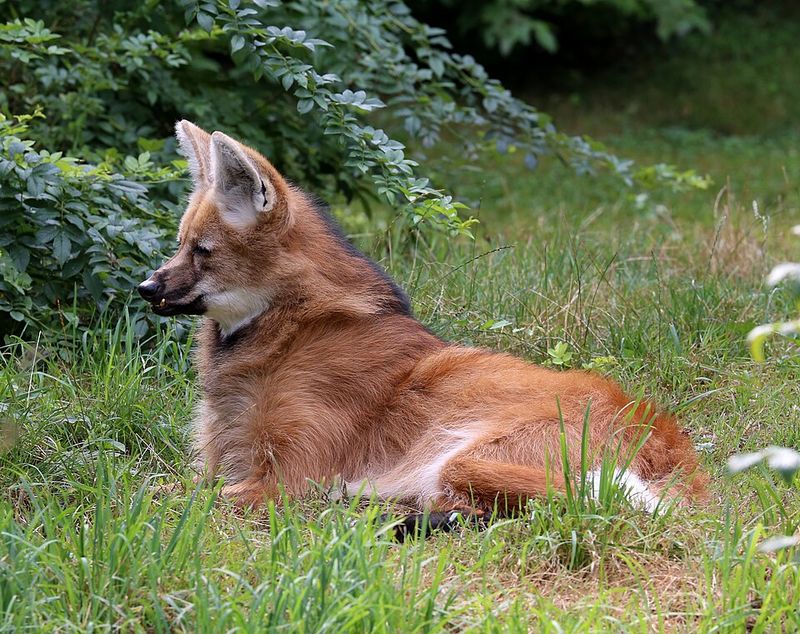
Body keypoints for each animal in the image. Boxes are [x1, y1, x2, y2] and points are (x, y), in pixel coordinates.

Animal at [138, 121, 708, 514]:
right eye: (180, 244)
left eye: (203, 251)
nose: (145, 287)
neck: (286, 326)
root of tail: (672, 446)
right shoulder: (221, 461)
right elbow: (158, 484)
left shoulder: (290, 479)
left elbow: (164, 498)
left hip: (466, 454)